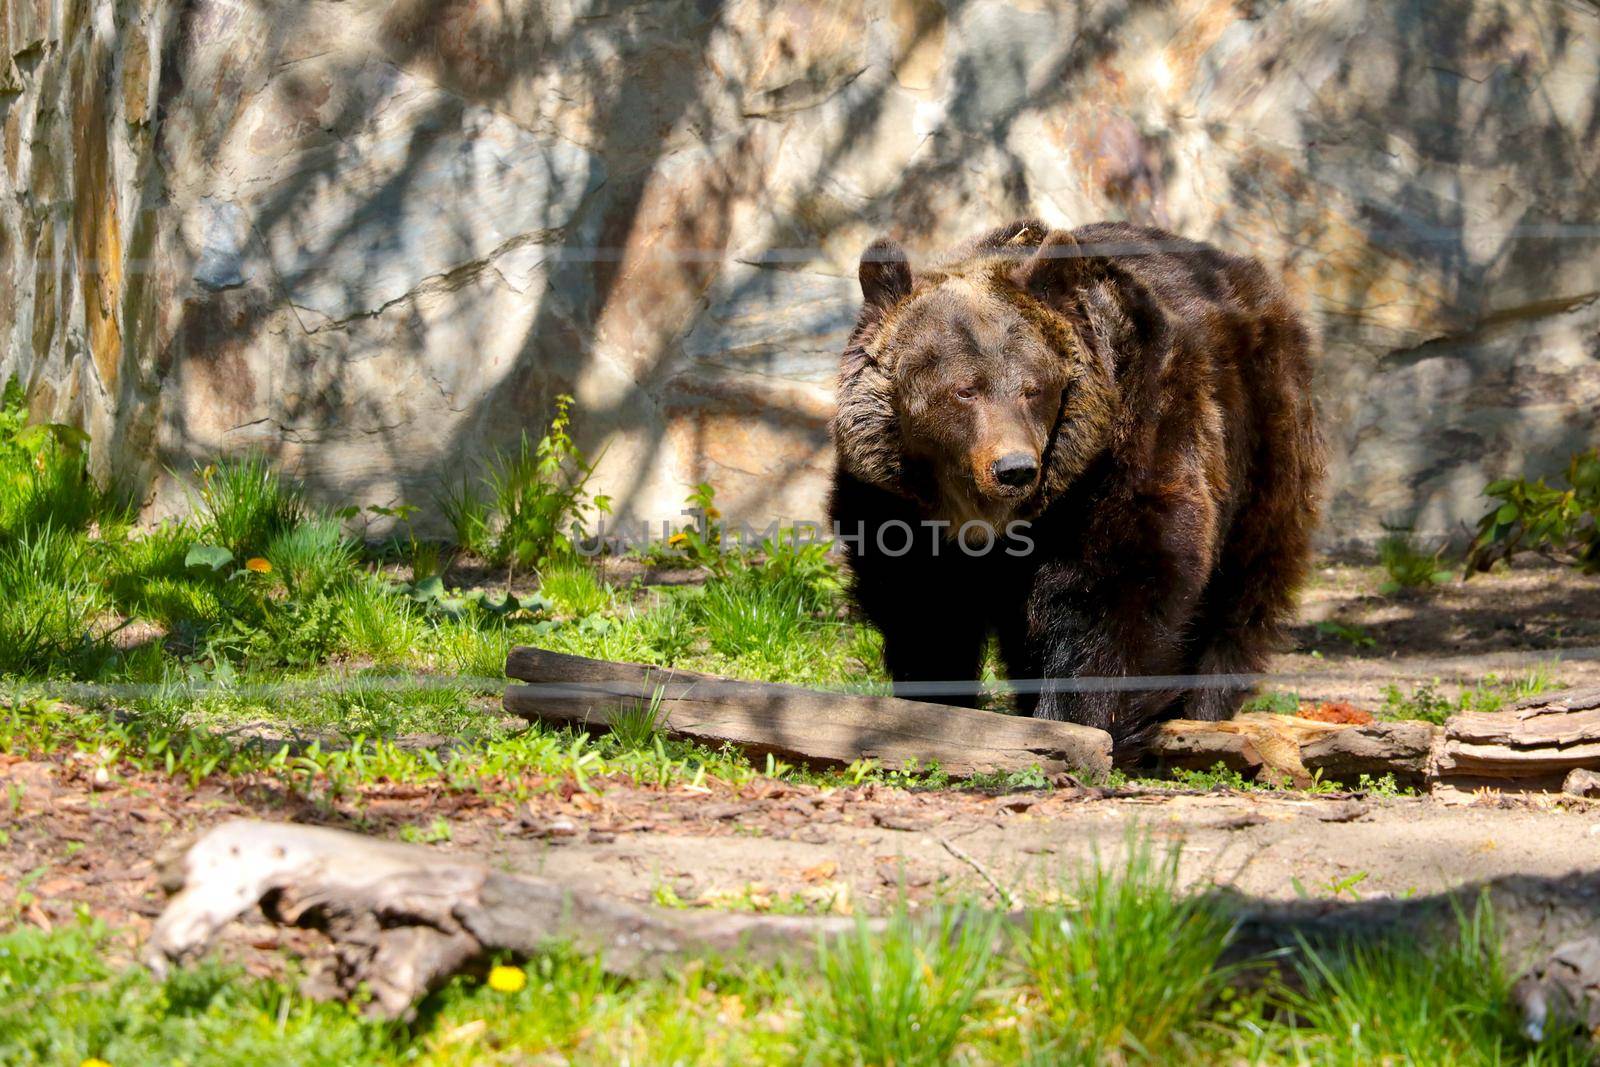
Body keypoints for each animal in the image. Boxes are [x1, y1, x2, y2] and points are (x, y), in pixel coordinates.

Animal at [825, 219, 1324, 751]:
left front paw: (1076, 720)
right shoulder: (893, 500)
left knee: (1244, 583)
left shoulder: (1122, 453)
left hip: (1261, 430)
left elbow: (1115, 590)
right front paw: (936, 702)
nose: (1015, 468)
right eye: (964, 390)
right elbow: (921, 604)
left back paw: (1204, 706)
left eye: (1033, 388)